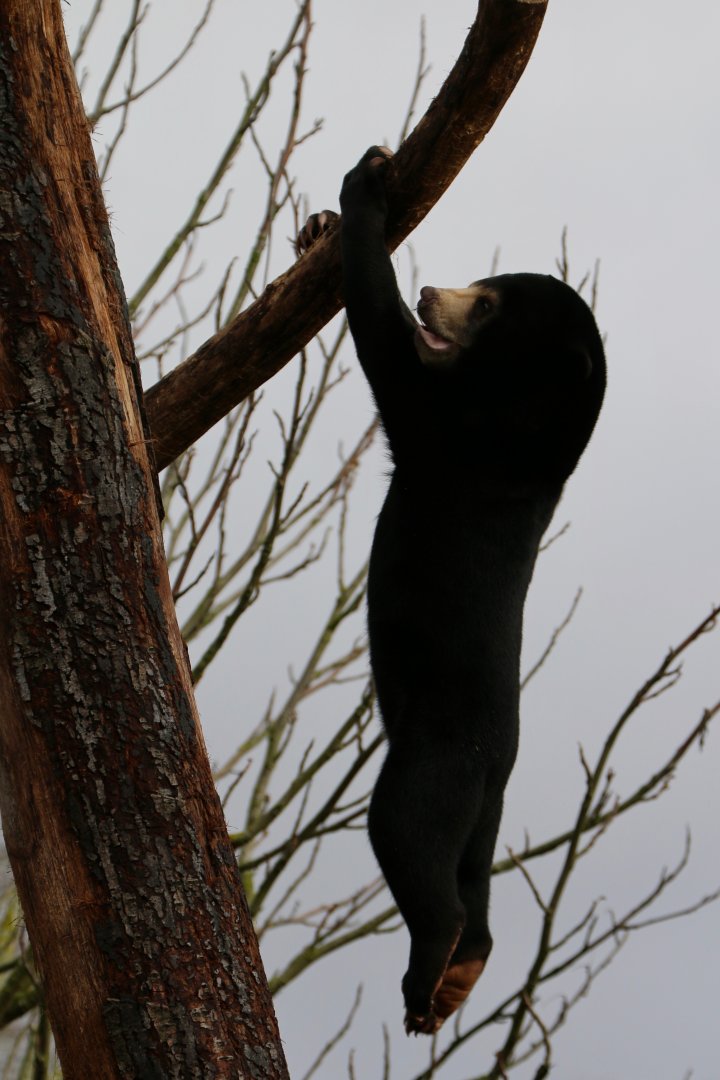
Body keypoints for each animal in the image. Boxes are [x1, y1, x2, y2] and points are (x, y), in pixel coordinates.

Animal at [296, 146, 606, 1035]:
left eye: (489, 303)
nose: (436, 290)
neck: (530, 427)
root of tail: (500, 755)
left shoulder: (451, 428)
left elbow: (383, 337)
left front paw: (361, 185)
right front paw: (317, 226)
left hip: (437, 759)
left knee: (411, 842)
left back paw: (425, 978)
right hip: (486, 807)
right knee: (475, 878)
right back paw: (460, 979)